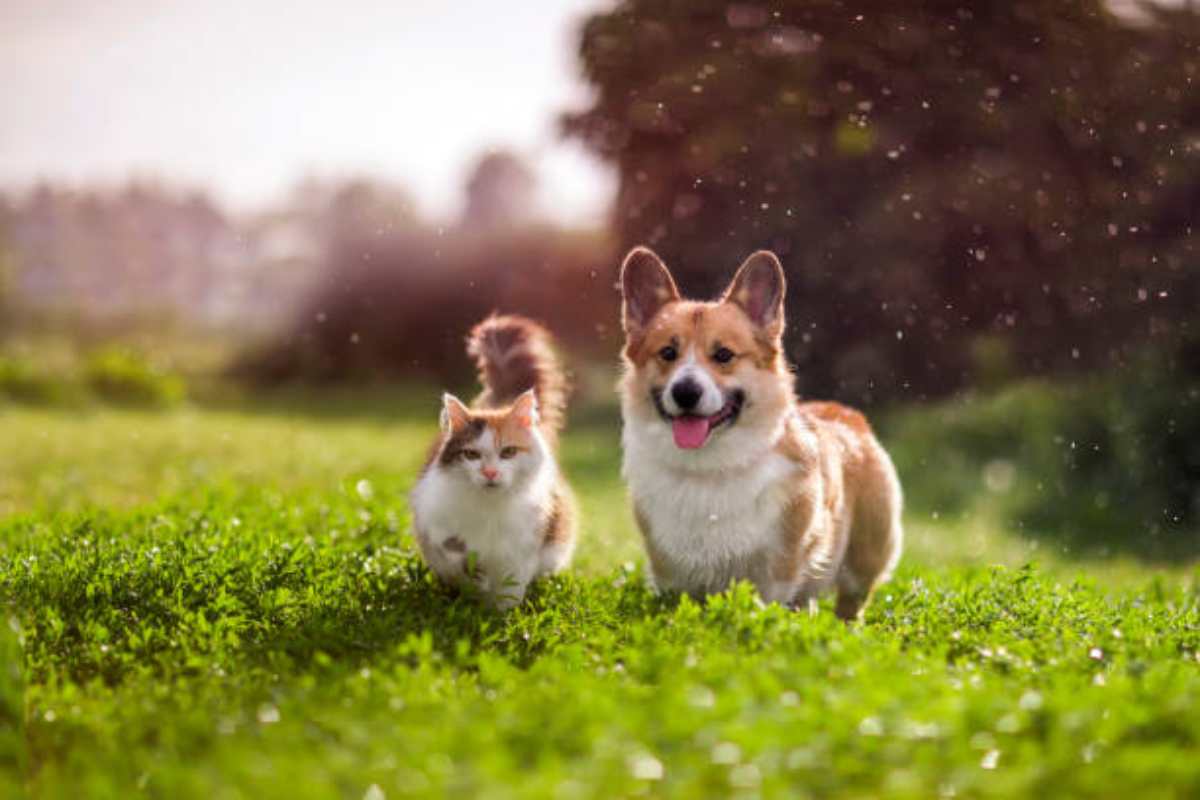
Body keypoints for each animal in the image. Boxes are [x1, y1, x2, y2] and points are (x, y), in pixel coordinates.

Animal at [408, 316, 576, 609]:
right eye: (471, 455)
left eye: (508, 452)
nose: (490, 472)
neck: (490, 507)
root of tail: (498, 404)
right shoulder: (432, 520)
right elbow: (454, 551)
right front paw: (475, 580)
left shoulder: (524, 547)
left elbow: (510, 589)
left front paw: (500, 615)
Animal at [619, 247, 902, 623]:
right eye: (667, 353)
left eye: (723, 355)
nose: (685, 392)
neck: (710, 467)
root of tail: (846, 414)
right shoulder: (671, 574)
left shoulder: (777, 571)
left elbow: (767, 604)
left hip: (864, 558)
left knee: (850, 605)